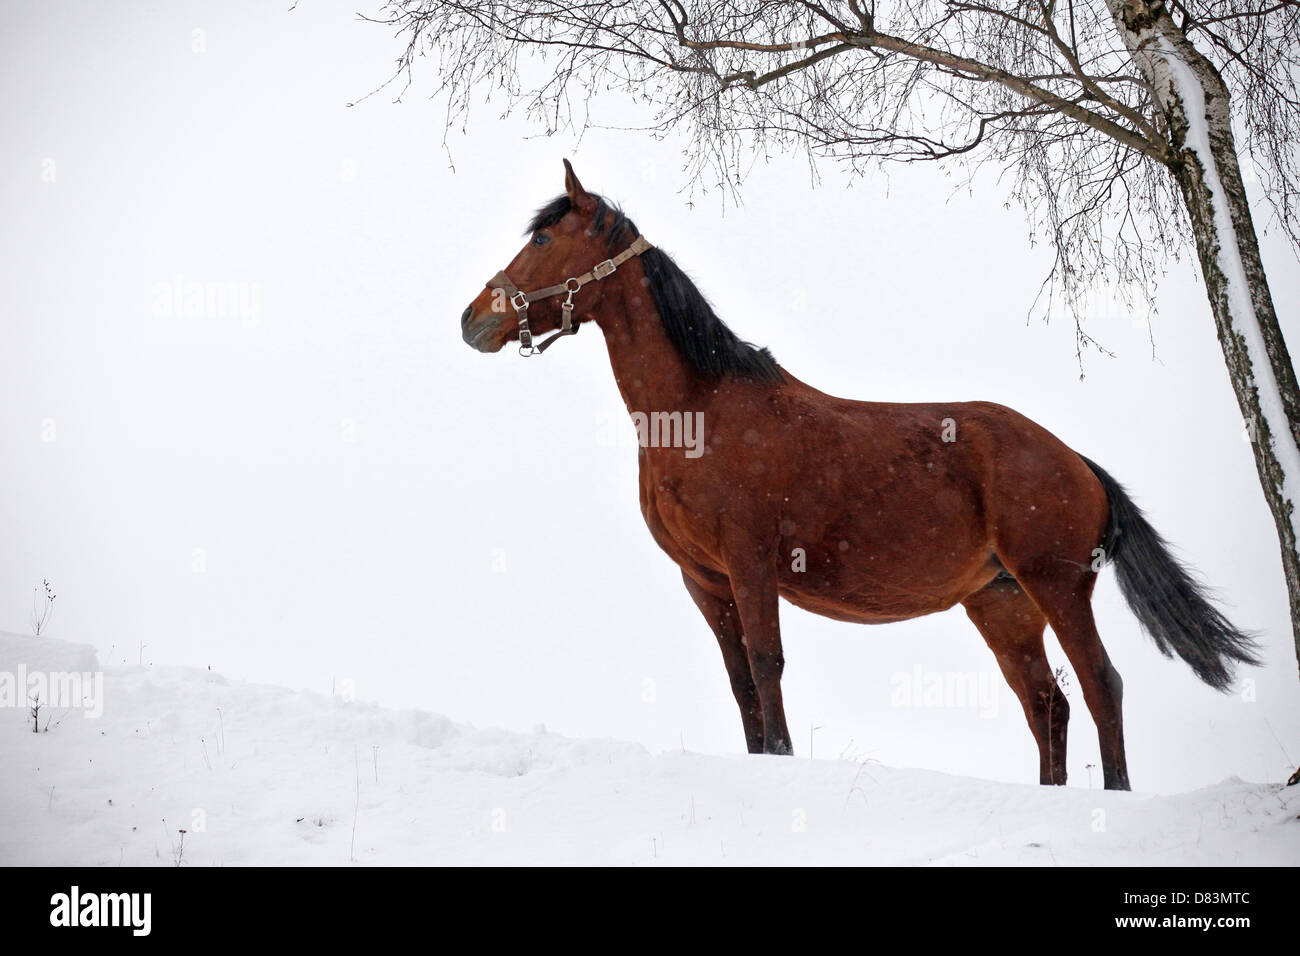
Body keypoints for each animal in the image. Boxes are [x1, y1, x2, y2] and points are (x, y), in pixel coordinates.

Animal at [460, 160, 1258, 790]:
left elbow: (767, 665)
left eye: (542, 239)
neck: (699, 411)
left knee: (1100, 687)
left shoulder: (750, 565)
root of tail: (1079, 464)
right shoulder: (704, 578)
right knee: (1046, 704)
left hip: (1056, 586)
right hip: (1002, 604)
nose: (474, 320)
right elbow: (741, 682)